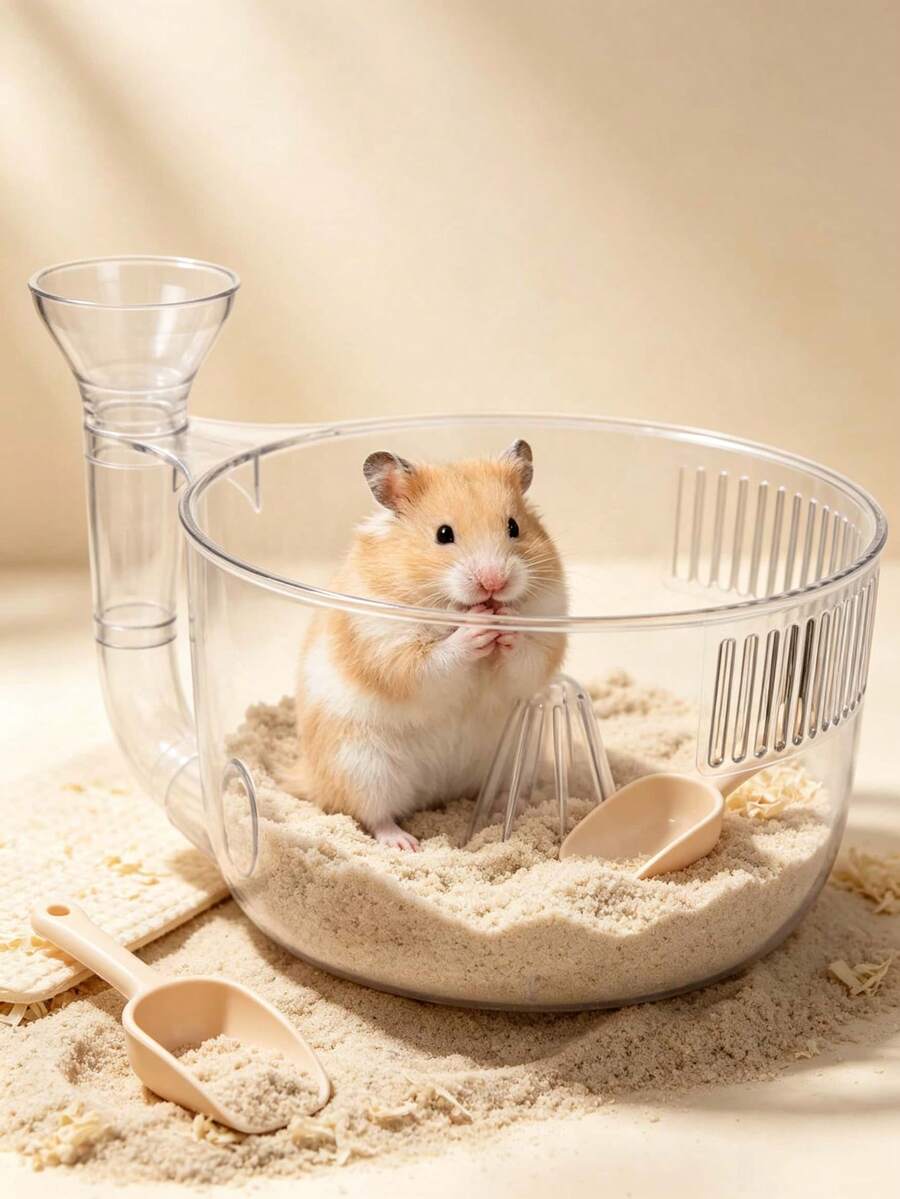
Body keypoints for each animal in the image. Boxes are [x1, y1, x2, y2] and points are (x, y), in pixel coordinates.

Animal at [284, 439, 568, 850]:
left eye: (514, 527)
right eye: (443, 534)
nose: (494, 582)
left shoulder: (547, 629)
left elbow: (527, 657)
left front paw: (506, 620)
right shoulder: (389, 646)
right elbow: (435, 662)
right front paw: (476, 627)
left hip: (515, 752)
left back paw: (505, 807)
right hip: (361, 765)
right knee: (373, 814)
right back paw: (404, 843)